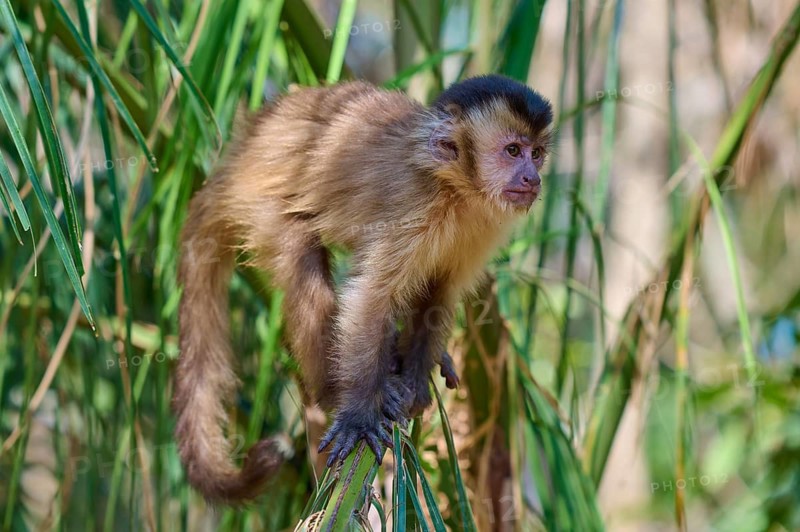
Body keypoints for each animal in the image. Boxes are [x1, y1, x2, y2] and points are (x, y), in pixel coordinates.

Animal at [172, 74, 553, 503]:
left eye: (537, 153)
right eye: (512, 151)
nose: (533, 178)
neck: (455, 186)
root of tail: (237, 156)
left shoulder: (484, 226)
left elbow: (439, 292)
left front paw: (414, 383)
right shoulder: (413, 203)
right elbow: (371, 297)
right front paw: (358, 415)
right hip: (258, 201)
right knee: (300, 254)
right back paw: (332, 393)